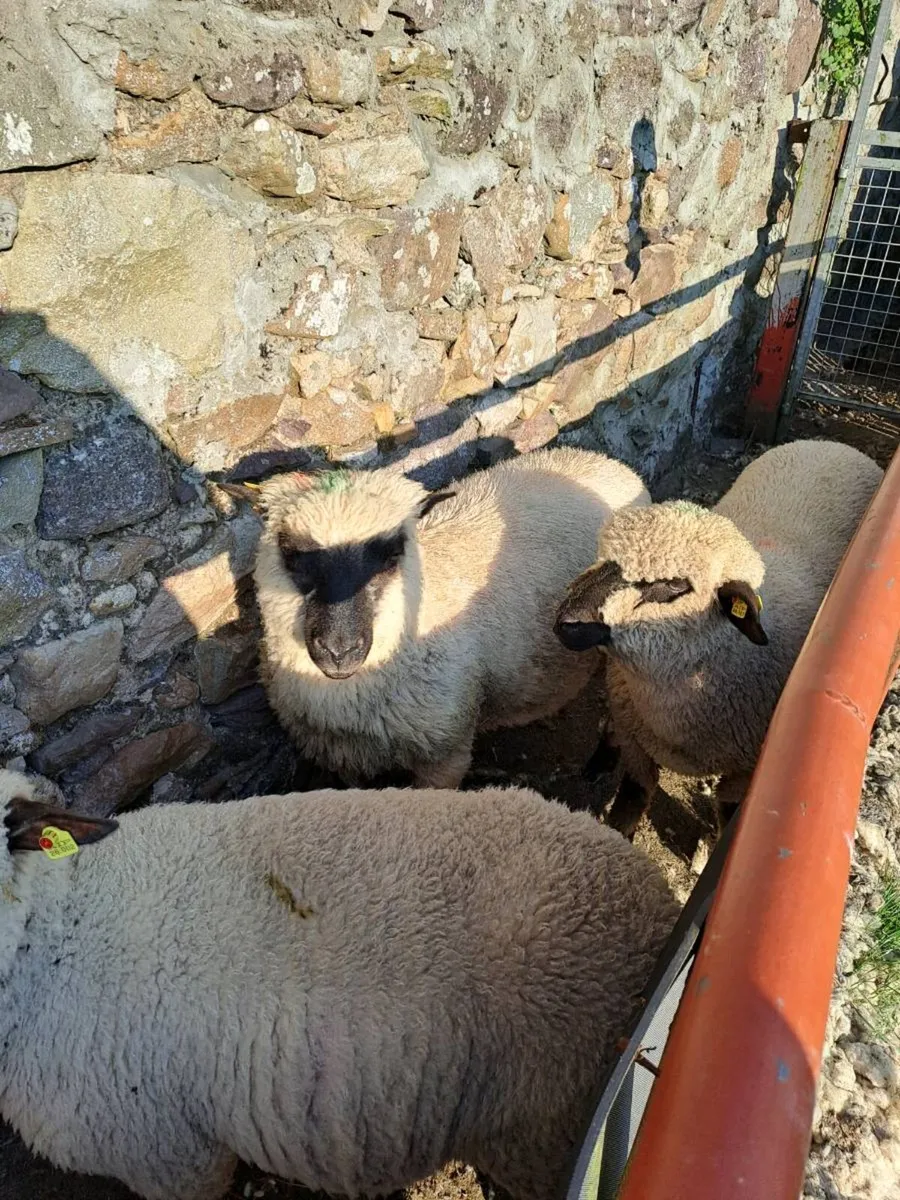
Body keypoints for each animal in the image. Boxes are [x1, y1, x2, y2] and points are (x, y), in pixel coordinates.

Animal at [223, 447, 649, 788]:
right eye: (290, 552)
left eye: (392, 553)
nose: (339, 650)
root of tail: (610, 463)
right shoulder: (344, 757)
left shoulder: (446, 750)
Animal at [554, 439, 884, 838]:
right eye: (603, 557)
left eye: (674, 585)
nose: (564, 622)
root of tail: (835, 444)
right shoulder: (636, 740)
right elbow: (632, 797)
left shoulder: (744, 772)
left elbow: (727, 814)